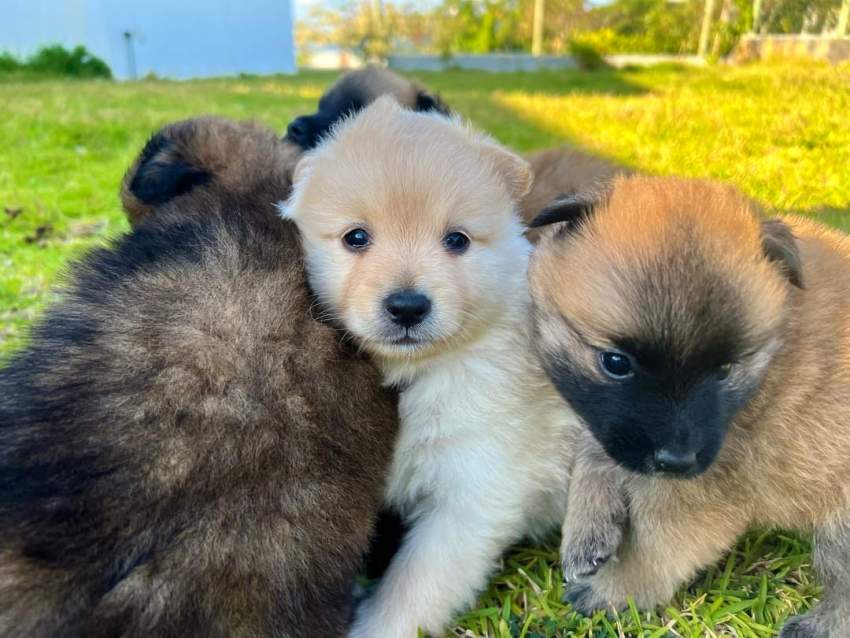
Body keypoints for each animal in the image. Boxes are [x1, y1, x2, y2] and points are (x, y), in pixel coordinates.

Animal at [282, 97, 588, 636]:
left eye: (457, 240)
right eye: (356, 237)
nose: (407, 306)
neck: (417, 375)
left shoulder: (473, 492)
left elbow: (413, 587)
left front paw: (373, 627)